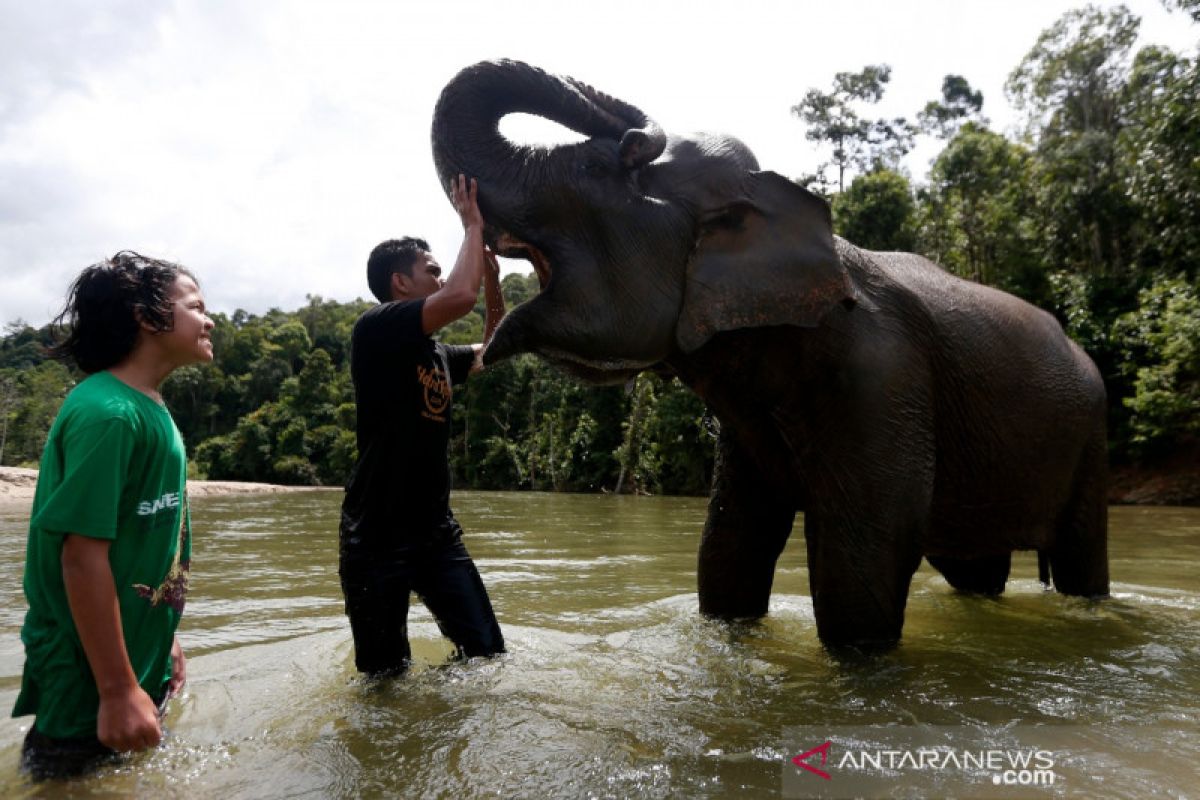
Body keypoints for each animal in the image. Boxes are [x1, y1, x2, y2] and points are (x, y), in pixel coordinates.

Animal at [429, 61, 1104, 652]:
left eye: (597, 166)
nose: (635, 138)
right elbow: (730, 539)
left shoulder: (882, 378)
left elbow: (866, 554)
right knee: (975, 568)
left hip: (1091, 435)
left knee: (1078, 557)